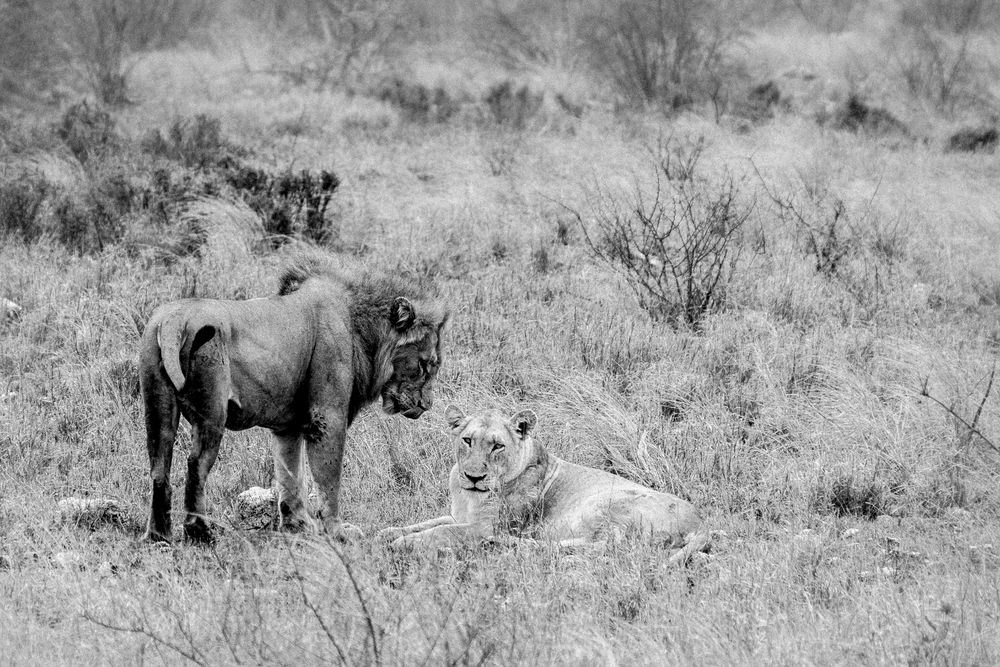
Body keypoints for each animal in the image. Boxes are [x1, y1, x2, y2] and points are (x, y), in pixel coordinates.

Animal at [139, 258, 448, 544]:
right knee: (196, 465)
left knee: (159, 469)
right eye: (425, 365)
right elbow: (328, 480)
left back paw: (158, 535)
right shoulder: (327, 416)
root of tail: (173, 319)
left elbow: (290, 476)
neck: (362, 331)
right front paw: (337, 531)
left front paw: (298, 526)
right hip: (212, 411)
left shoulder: (288, 427)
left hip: (157, 407)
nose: (427, 405)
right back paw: (200, 532)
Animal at [376, 408, 712, 564]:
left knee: (607, 548)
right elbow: (426, 522)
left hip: (610, 504)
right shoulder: (459, 515)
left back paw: (508, 545)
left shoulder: (482, 526)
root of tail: (701, 523)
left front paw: (402, 544)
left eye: (497, 446)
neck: (470, 496)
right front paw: (386, 532)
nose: (473, 477)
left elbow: (441, 531)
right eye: (467, 440)